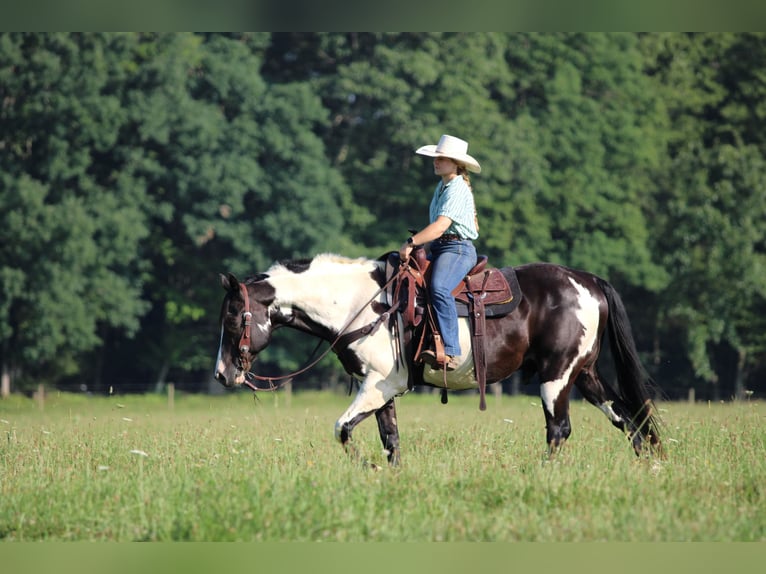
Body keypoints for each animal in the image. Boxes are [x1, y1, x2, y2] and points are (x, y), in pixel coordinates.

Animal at [213, 253, 662, 465]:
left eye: (233, 317)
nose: (221, 375)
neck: (362, 304)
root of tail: (588, 282)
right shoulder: (381, 389)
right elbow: (389, 440)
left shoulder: (377, 385)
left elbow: (342, 429)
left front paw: (368, 469)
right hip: (585, 374)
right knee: (628, 418)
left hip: (557, 376)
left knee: (559, 430)